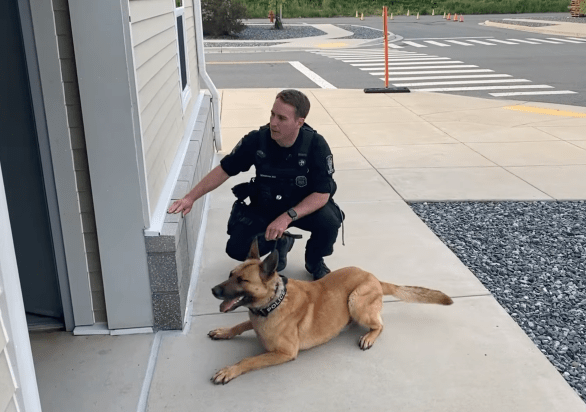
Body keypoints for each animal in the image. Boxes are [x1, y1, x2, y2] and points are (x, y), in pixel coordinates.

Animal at [206, 240, 452, 384]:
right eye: (230, 274)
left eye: (242, 280)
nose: (213, 290)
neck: (273, 303)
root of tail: (374, 277)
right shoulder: (254, 319)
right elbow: (239, 324)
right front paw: (223, 331)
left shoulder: (285, 353)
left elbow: (248, 360)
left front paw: (230, 370)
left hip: (356, 301)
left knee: (380, 325)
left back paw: (369, 336)